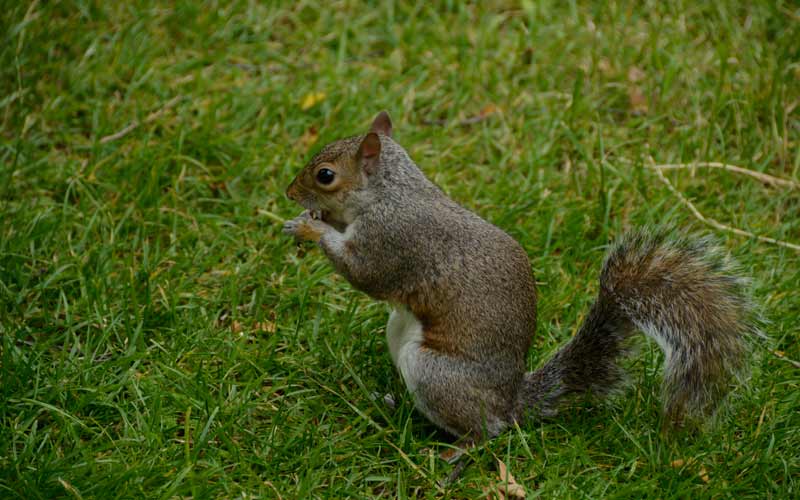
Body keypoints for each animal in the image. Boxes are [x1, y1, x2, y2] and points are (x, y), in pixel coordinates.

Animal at [284, 111, 760, 440]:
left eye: (325, 176)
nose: (289, 192)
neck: (390, 193)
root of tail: (510, 402)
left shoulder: (393, 242)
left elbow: (365, 275)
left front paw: (310, 227)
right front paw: (306, 221)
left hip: (436, 372)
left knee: (485, 432)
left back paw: (456, 451)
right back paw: (392, 405)